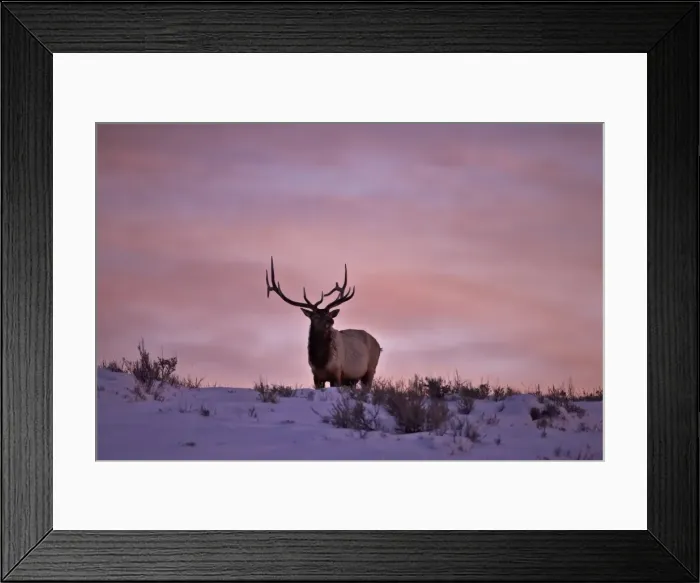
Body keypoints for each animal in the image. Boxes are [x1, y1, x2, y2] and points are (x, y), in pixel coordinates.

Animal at [265, 257, 382, 390]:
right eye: (315, 316)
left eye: (329, 315)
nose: (331, 321)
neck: (321, 363)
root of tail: (379, 345)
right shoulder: (316, 375)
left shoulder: (337, 372)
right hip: (353, 379)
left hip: (371, 369)